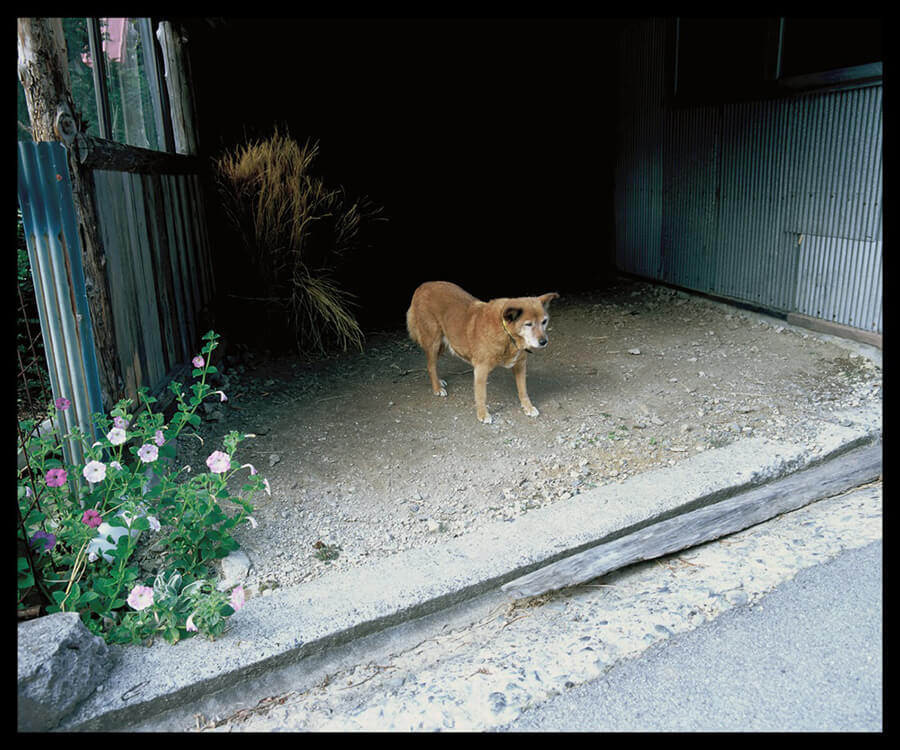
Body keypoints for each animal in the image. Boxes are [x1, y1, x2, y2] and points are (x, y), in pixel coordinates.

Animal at [406, 280, 560, 424]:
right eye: (528, 324)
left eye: (544, 321)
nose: (544, 341)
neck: (506, 333)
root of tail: (423, 285)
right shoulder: (481, 370)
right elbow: (481, 396)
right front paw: (483, 415)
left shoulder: (520, 365)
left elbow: (523, 390)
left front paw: (528, 407)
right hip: (434, 341)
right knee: (430, 366)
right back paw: (437, 388)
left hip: (444, 342)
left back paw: (439, 381)